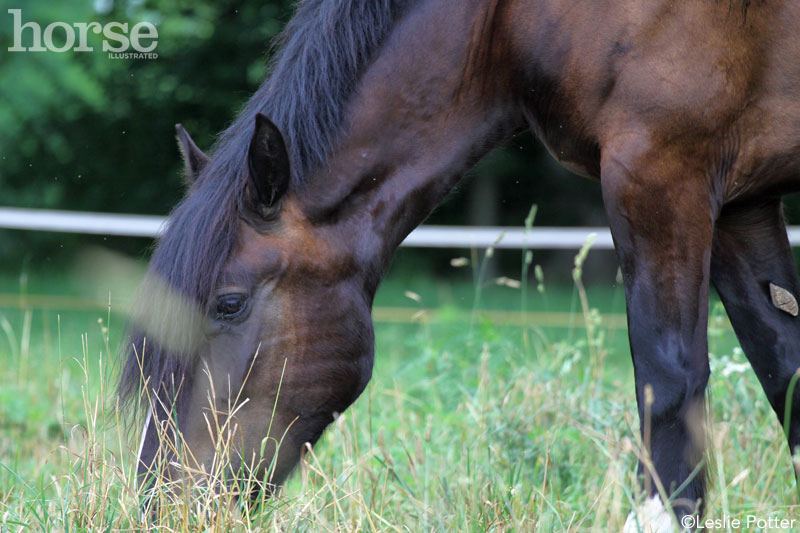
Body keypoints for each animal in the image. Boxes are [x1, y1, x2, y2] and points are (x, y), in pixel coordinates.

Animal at [120, 0, 800, 524]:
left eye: (229, 303)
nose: (161, 503)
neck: (511, 20)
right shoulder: (741, 204)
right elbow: (783, 370)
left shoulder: (661, 173)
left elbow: (669, 384)